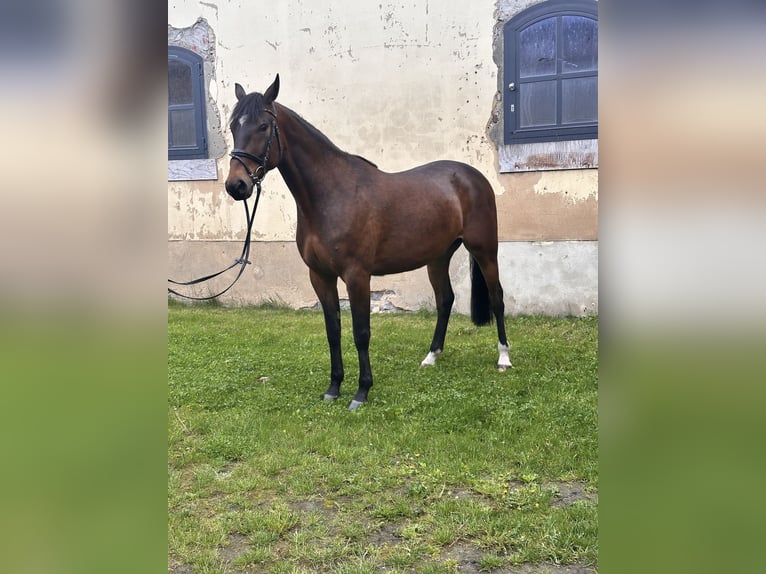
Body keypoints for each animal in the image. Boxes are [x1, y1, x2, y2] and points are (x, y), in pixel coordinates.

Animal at [224, 75, 511, 410]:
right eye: (233, 127)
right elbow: (333, 331)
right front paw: (333, 387)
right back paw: (431, 357)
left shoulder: (357, 275)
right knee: (445, 300)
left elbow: (361, 332)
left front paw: (361, 392)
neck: (331, 195)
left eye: (263, 127)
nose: (236, 185)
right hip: (437, 257)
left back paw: (504, 358)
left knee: (497, 298)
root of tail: (473, 176)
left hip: (485, 250)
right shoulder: (319, 275)